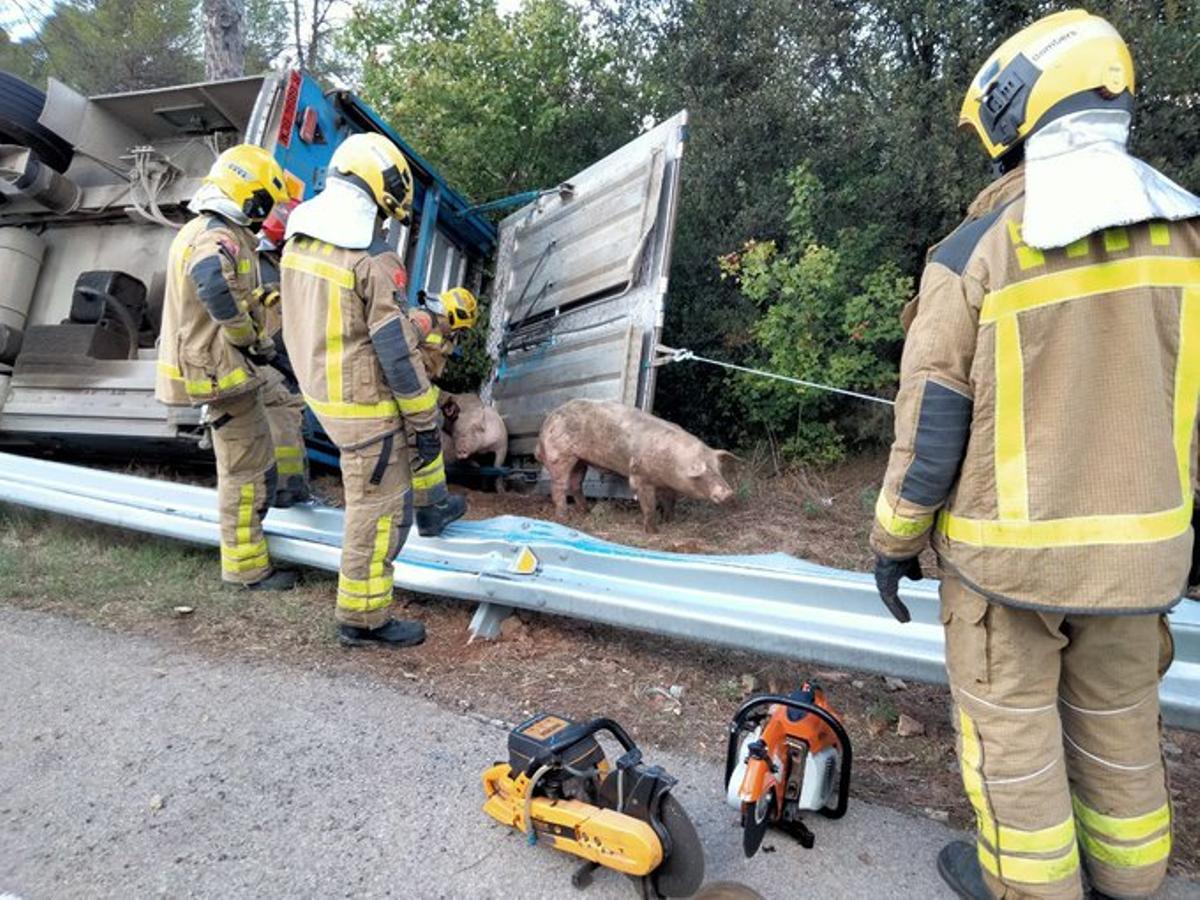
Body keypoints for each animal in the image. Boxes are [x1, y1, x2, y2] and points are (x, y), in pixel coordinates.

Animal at [537, 398, 739, 532]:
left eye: (718, 469)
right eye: (701, 473)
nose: (729, 493)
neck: (671, 464)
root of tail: (547, 421)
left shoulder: (669, 484)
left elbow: (670, 501)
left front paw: (670, 522)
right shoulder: (640, 477)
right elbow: (649, 506)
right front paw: (653, 532)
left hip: (580, 460)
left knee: (575, 483)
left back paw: (586, 512)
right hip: (560, 455)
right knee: (558, 486)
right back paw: (563, 517)